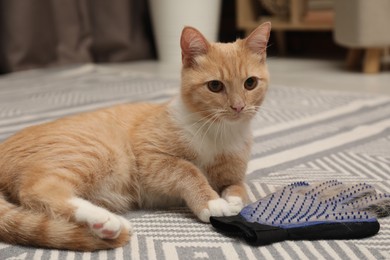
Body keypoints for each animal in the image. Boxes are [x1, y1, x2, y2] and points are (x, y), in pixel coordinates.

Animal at [0, 21, 270, 250]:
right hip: (94, 152)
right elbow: (188, 171)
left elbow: (239, 187)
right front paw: (211, 202)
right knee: (39, 190)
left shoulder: (233, 173)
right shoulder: (151, 159)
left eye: (250, 83)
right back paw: (106, 220)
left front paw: (233, 201)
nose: (238, 107)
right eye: (215, 86)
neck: (218, 133)